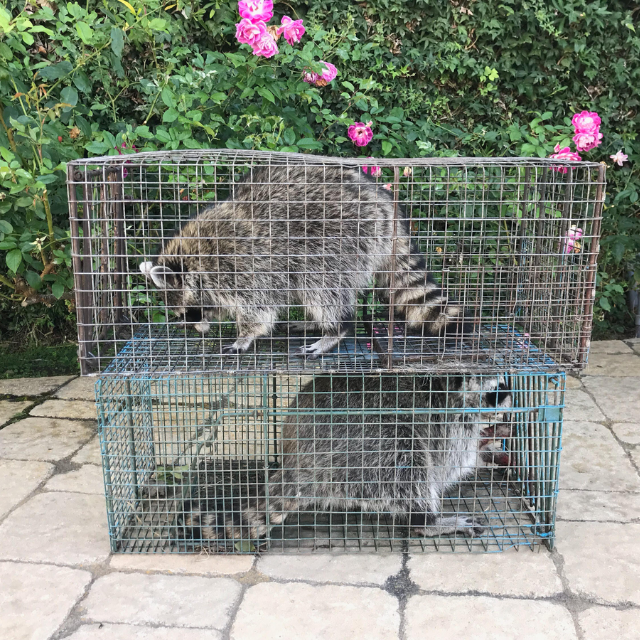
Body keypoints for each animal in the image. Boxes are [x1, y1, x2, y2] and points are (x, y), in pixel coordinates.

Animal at [140, 165, 469, 356]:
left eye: (185, 312)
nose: (197, 329)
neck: (193, 259)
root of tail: (384, 202)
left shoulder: (244, 264)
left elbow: (259, 309)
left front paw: (245, 334)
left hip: (340, 238)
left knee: (322, 288)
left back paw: (335, 330)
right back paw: (315, 323)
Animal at [178, 374, 512, 542]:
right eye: (496, 392)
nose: (510, 404)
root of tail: (298, 461)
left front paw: (492, 443)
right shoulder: (450, 420)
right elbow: (449, 461)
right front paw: (484, 442)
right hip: (363, 445)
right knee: (407, 460)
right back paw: (427, 521)